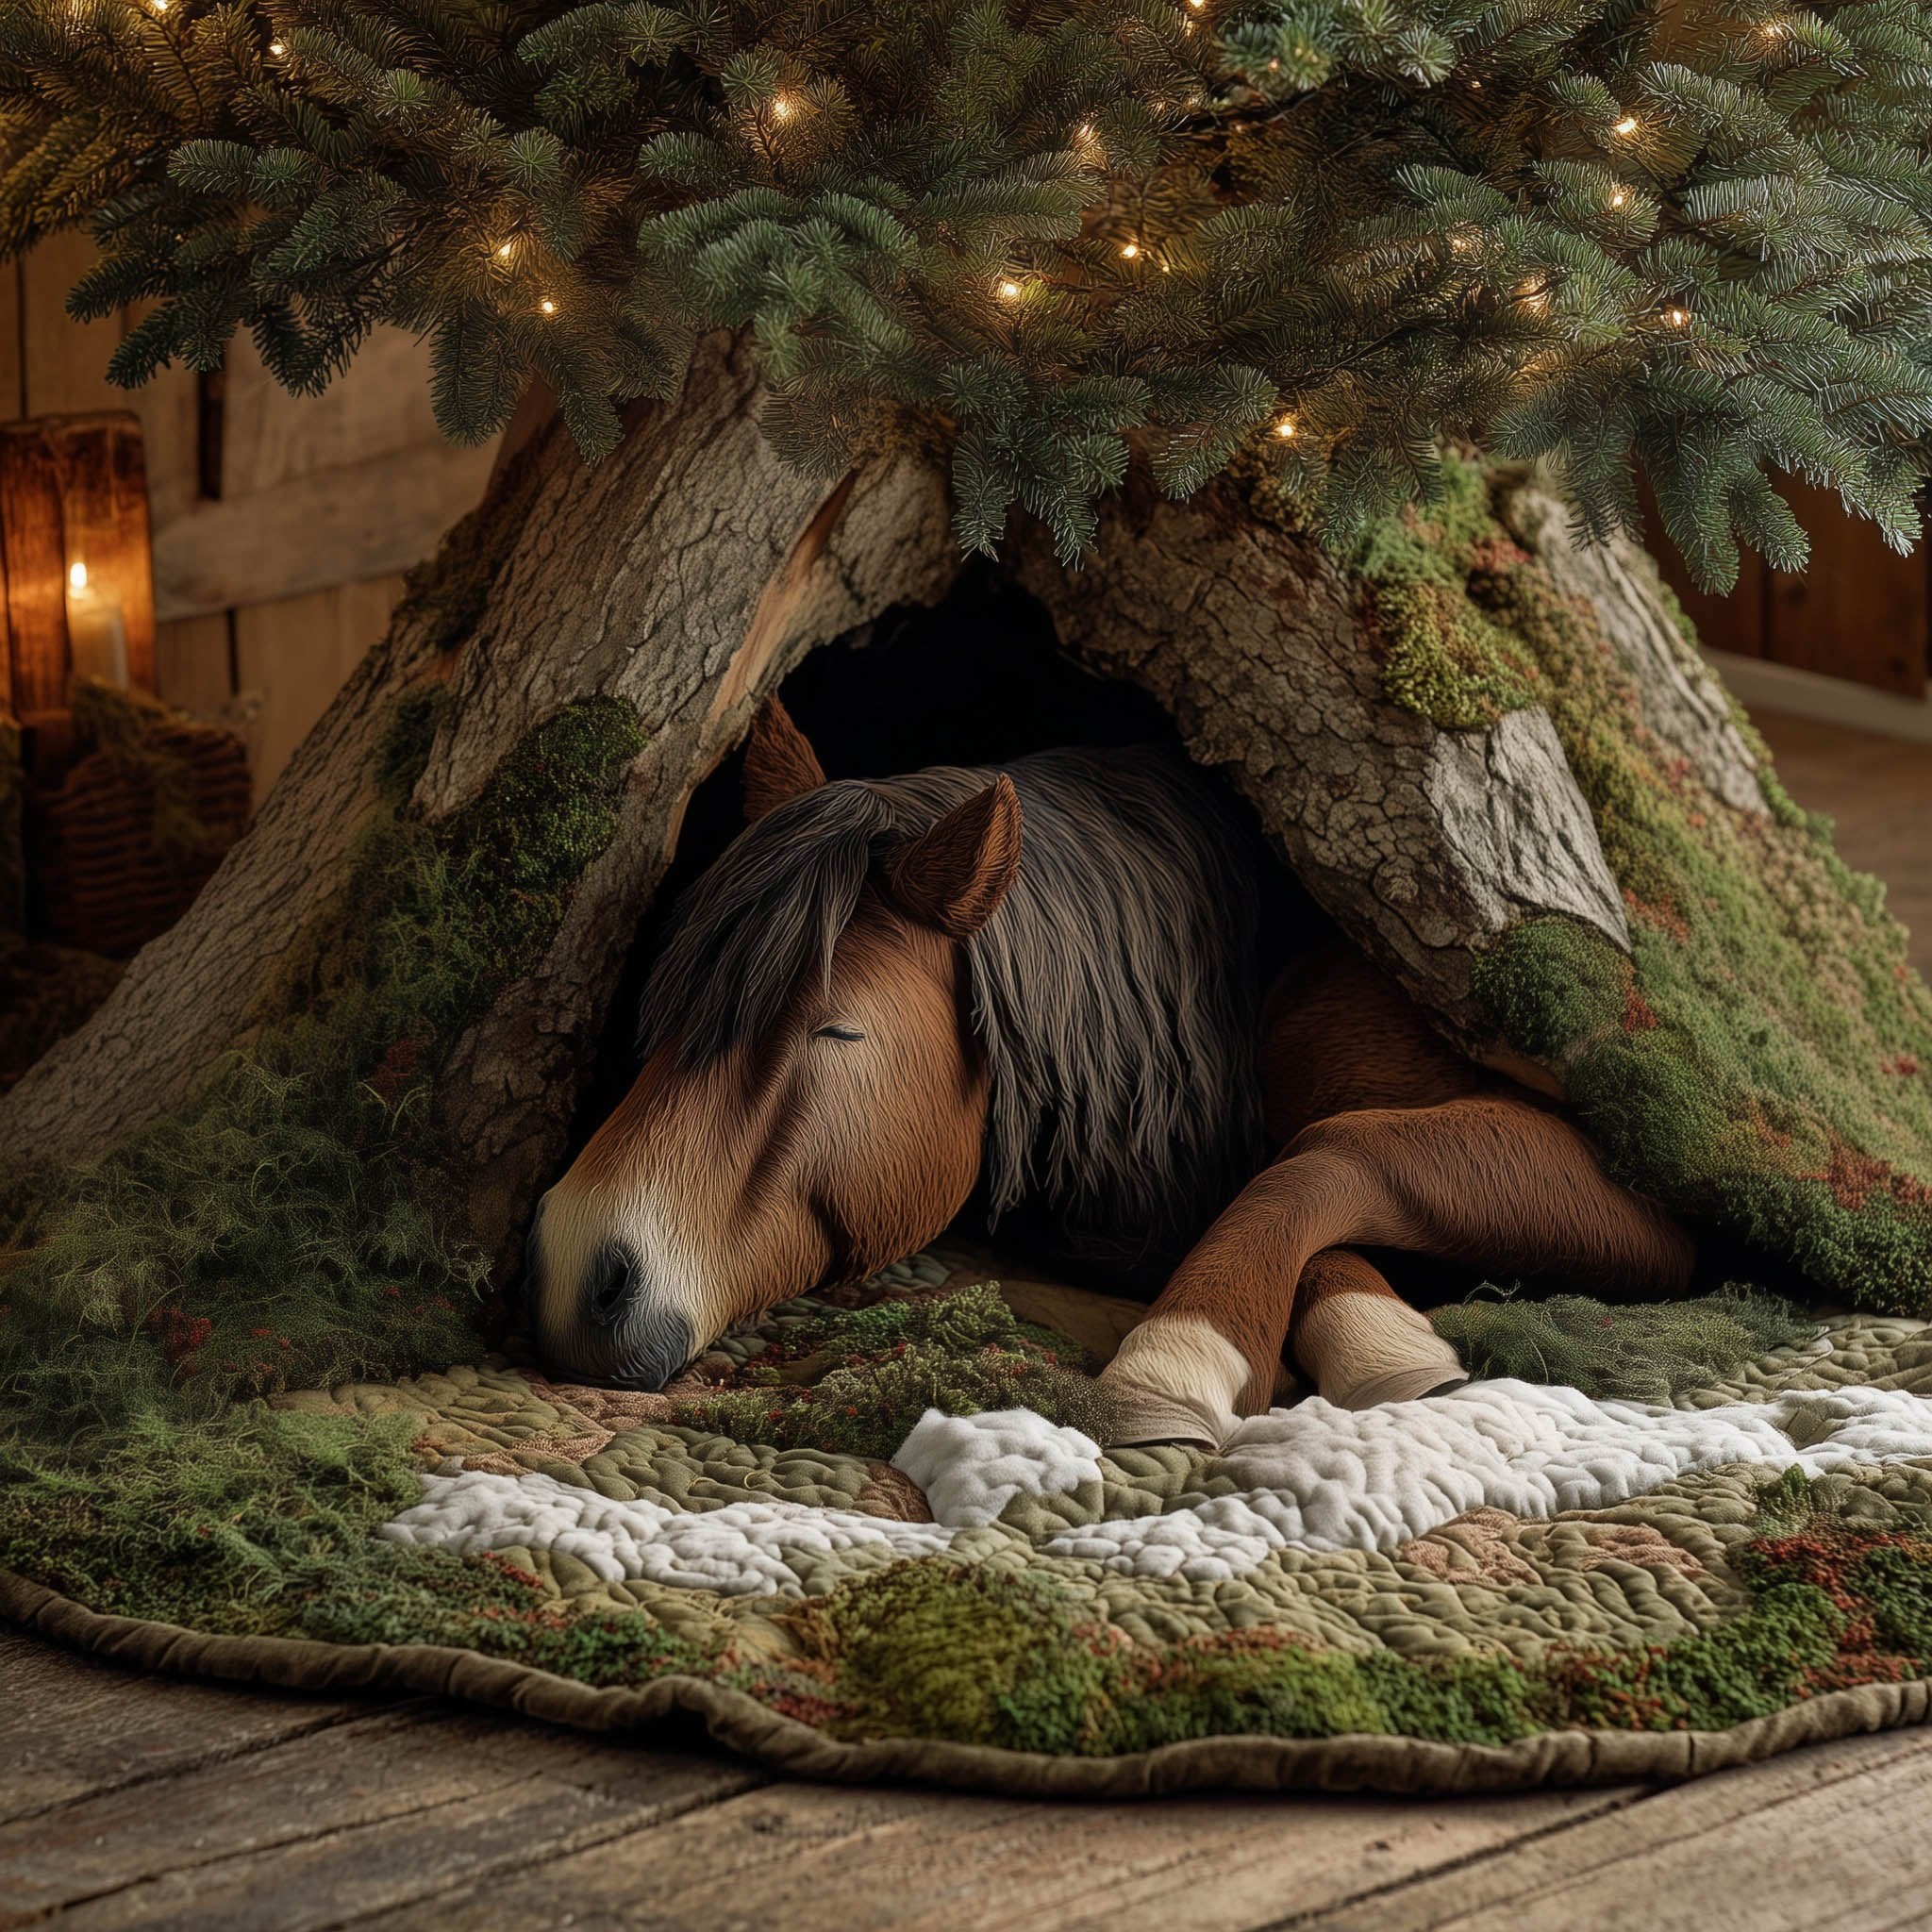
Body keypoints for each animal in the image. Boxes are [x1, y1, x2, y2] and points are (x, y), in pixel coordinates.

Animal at [525, 698, 1695, 1448]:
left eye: (837, 1032)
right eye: (666, 1005)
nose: (577, 1269)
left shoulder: (1643, 1197)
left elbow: (1325, 1148)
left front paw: (1177, 1354)